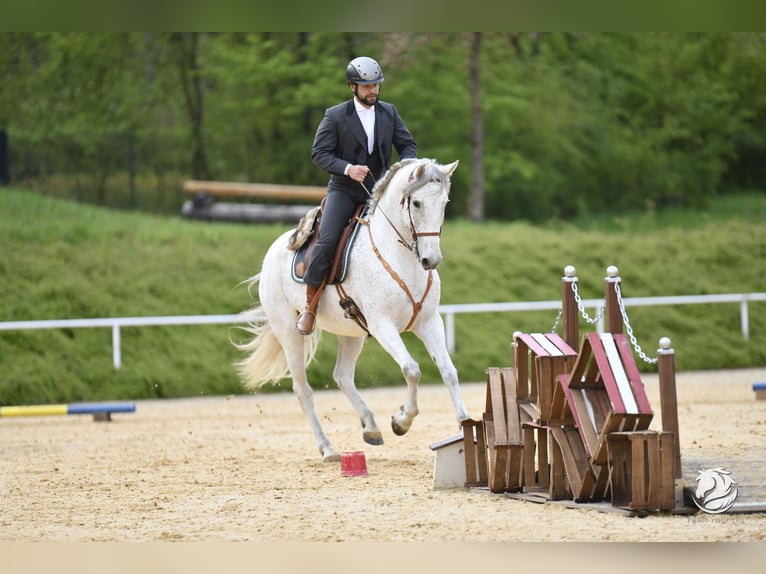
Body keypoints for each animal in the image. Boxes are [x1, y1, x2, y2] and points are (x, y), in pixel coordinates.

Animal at [237, 158, 472, 464]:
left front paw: (464, 426)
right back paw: (328, 448)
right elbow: (412, 370)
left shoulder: (430, 322)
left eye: (444, 202)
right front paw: (401, 421)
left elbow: (448, 371)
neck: (400, 257)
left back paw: (370, 427)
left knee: (342, 376)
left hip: (351, 333)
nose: (431, 260)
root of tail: (273, 251)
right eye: (417, 203)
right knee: (302, 390)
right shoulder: (383, 326)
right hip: (288, 331)